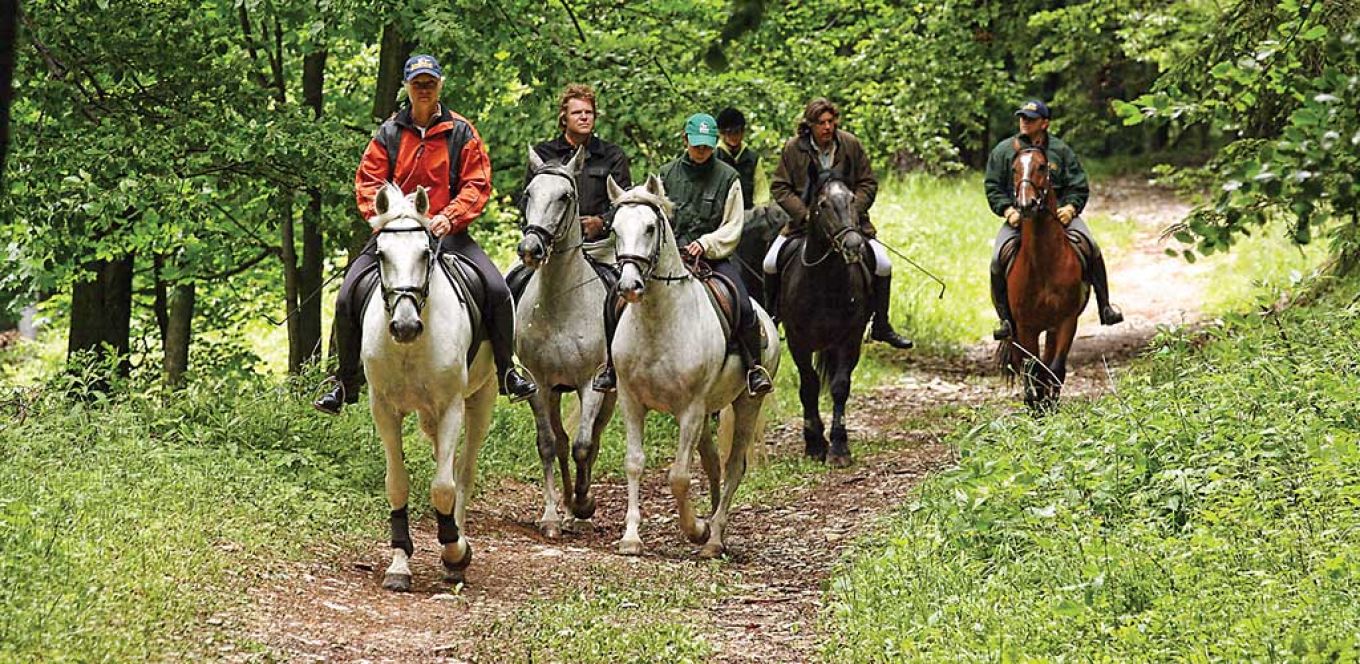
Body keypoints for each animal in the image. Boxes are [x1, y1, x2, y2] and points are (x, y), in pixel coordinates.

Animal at [361, 182, 495, 590]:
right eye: (381, 254)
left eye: (424, 253)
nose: (405, 326)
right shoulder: (383, 409)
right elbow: (397, 483)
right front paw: (399, 564)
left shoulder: (451, 406)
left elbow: (444, 486)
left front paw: (455, 552)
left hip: (482, 398)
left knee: (462, 470)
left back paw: (458, 541)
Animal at [514, 145, 617, 538]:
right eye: (528, 194)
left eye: (565, 196)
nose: (531, 248)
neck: (560, 302)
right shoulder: (539, 384)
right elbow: (548, 445)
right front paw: (551, 516)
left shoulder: (591, 382)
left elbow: (584, 445)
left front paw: (585, 503)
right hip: (556, 390)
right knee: (559, 441)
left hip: (609, 393)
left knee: (594, 436)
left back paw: (579, 504)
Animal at [603, 176, 777, 560]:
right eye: (615, 229)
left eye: (650, 228)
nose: (628, 286)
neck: (658, 321)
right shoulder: (631, 401)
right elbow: (634, 462)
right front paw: (631, 538)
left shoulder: (690, 409)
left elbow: (679, 476)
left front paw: (695, 529)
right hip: (708, 412)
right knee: (712, 462)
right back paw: (713, 524)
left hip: (746, 403)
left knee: (733, 466)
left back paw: (713, 538)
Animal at [772, 173, 864, 470]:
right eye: (822, 204)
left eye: (852, 199)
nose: (854, 245)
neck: (825, 283)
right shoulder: (797, 341)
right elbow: (809, 386)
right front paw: (814, 444)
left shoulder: (849, 340)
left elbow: (839, 387)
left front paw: (838, 447)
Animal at [1000, 144, 1093, 410]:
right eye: (1014, 168)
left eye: (1042, 166)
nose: (1026, 204)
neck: (1044, 264)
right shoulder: (1025, 326)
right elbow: (1032, 369)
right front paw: (1035, 405)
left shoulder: (1066, 322)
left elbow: (1054, 368)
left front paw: (1049, 405)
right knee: (1025, 365)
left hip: (1051, 328)